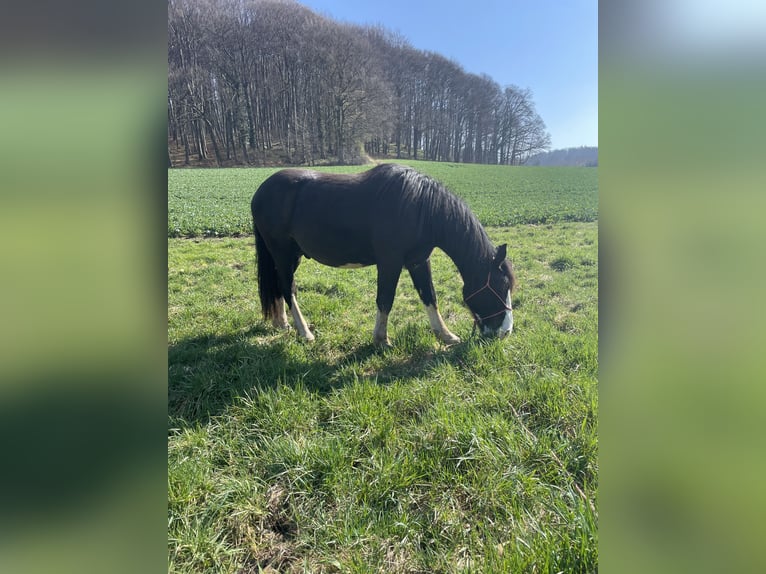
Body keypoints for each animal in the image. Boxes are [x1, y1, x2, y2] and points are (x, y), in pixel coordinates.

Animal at [251, 163, 515, 347]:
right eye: (501, 287)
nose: (505, 332)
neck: (420, 207)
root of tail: (260, 191)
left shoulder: (419, 261)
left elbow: (429, 296)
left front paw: (446, 335)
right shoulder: (390, 262)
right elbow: (385, 299)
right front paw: (381, 339)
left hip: (288, 256)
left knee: (278, 285)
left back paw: (282, 323)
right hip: (282, 253)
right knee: (288, 288)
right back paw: (305, 332)